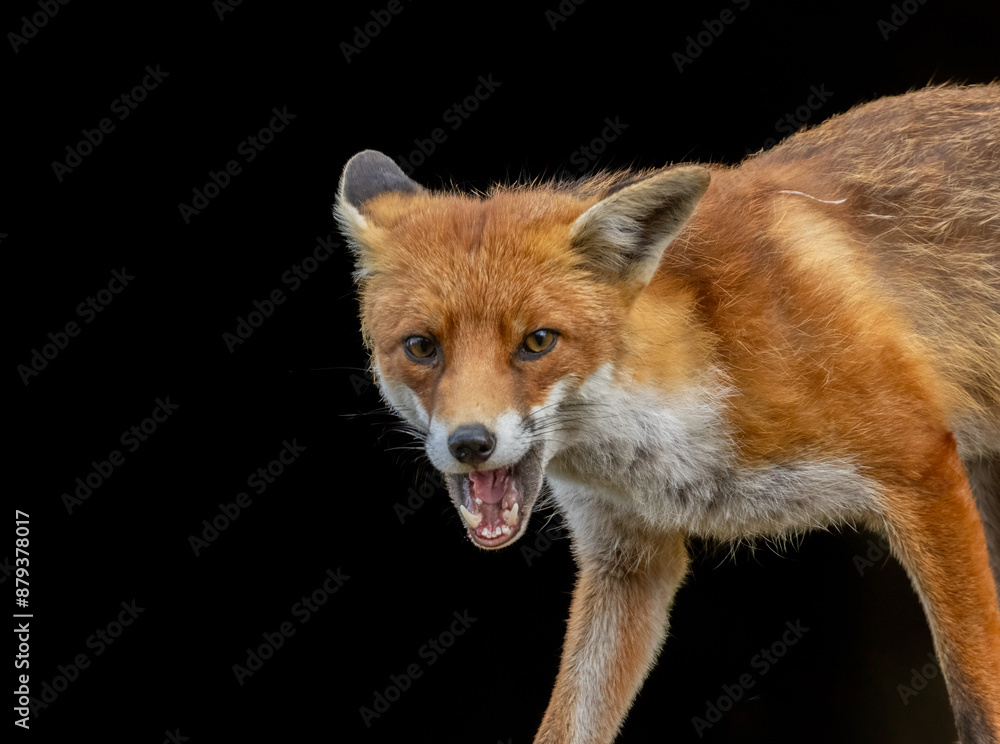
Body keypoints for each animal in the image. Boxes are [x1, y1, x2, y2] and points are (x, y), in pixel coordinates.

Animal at [335, 83, 1000, 743]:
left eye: (538, 342)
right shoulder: (627, 561)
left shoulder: (921, 468)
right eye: (422, 347)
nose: (470, 443)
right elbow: (568, 724)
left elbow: (979, 704)